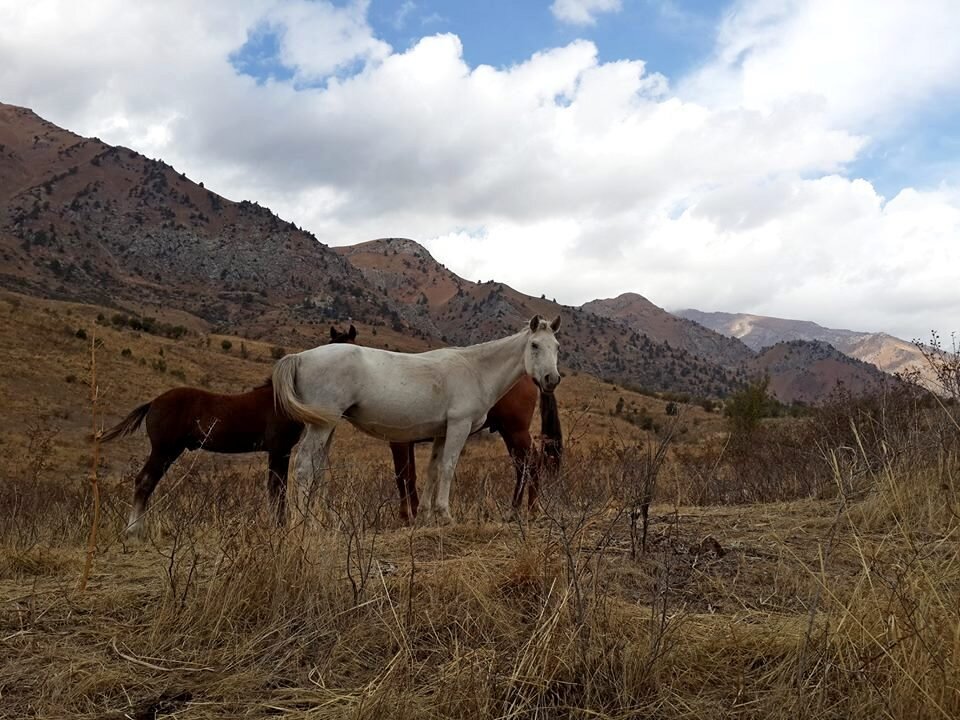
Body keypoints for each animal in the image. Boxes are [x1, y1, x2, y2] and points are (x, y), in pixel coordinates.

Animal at [100, 326, 356, 536]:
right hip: (164, 449)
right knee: (144, 481)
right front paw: (279, 526)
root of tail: (153, 402)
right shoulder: (279, 449)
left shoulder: (277, 451)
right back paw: (133, 530)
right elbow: (277, 489)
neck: (283, 397)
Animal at [272, 316, 564, 524]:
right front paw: (444, 514)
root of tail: (300, 357)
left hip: (327, 426)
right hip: (321, 426)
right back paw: (303, 522)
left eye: (557, 347)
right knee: (304, 466)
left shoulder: (441, 433)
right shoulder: (457, 427)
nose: (552, 379)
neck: (475, 369)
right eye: (535, 345)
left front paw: (425, 514)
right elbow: (446, 467)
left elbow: (432, 470)